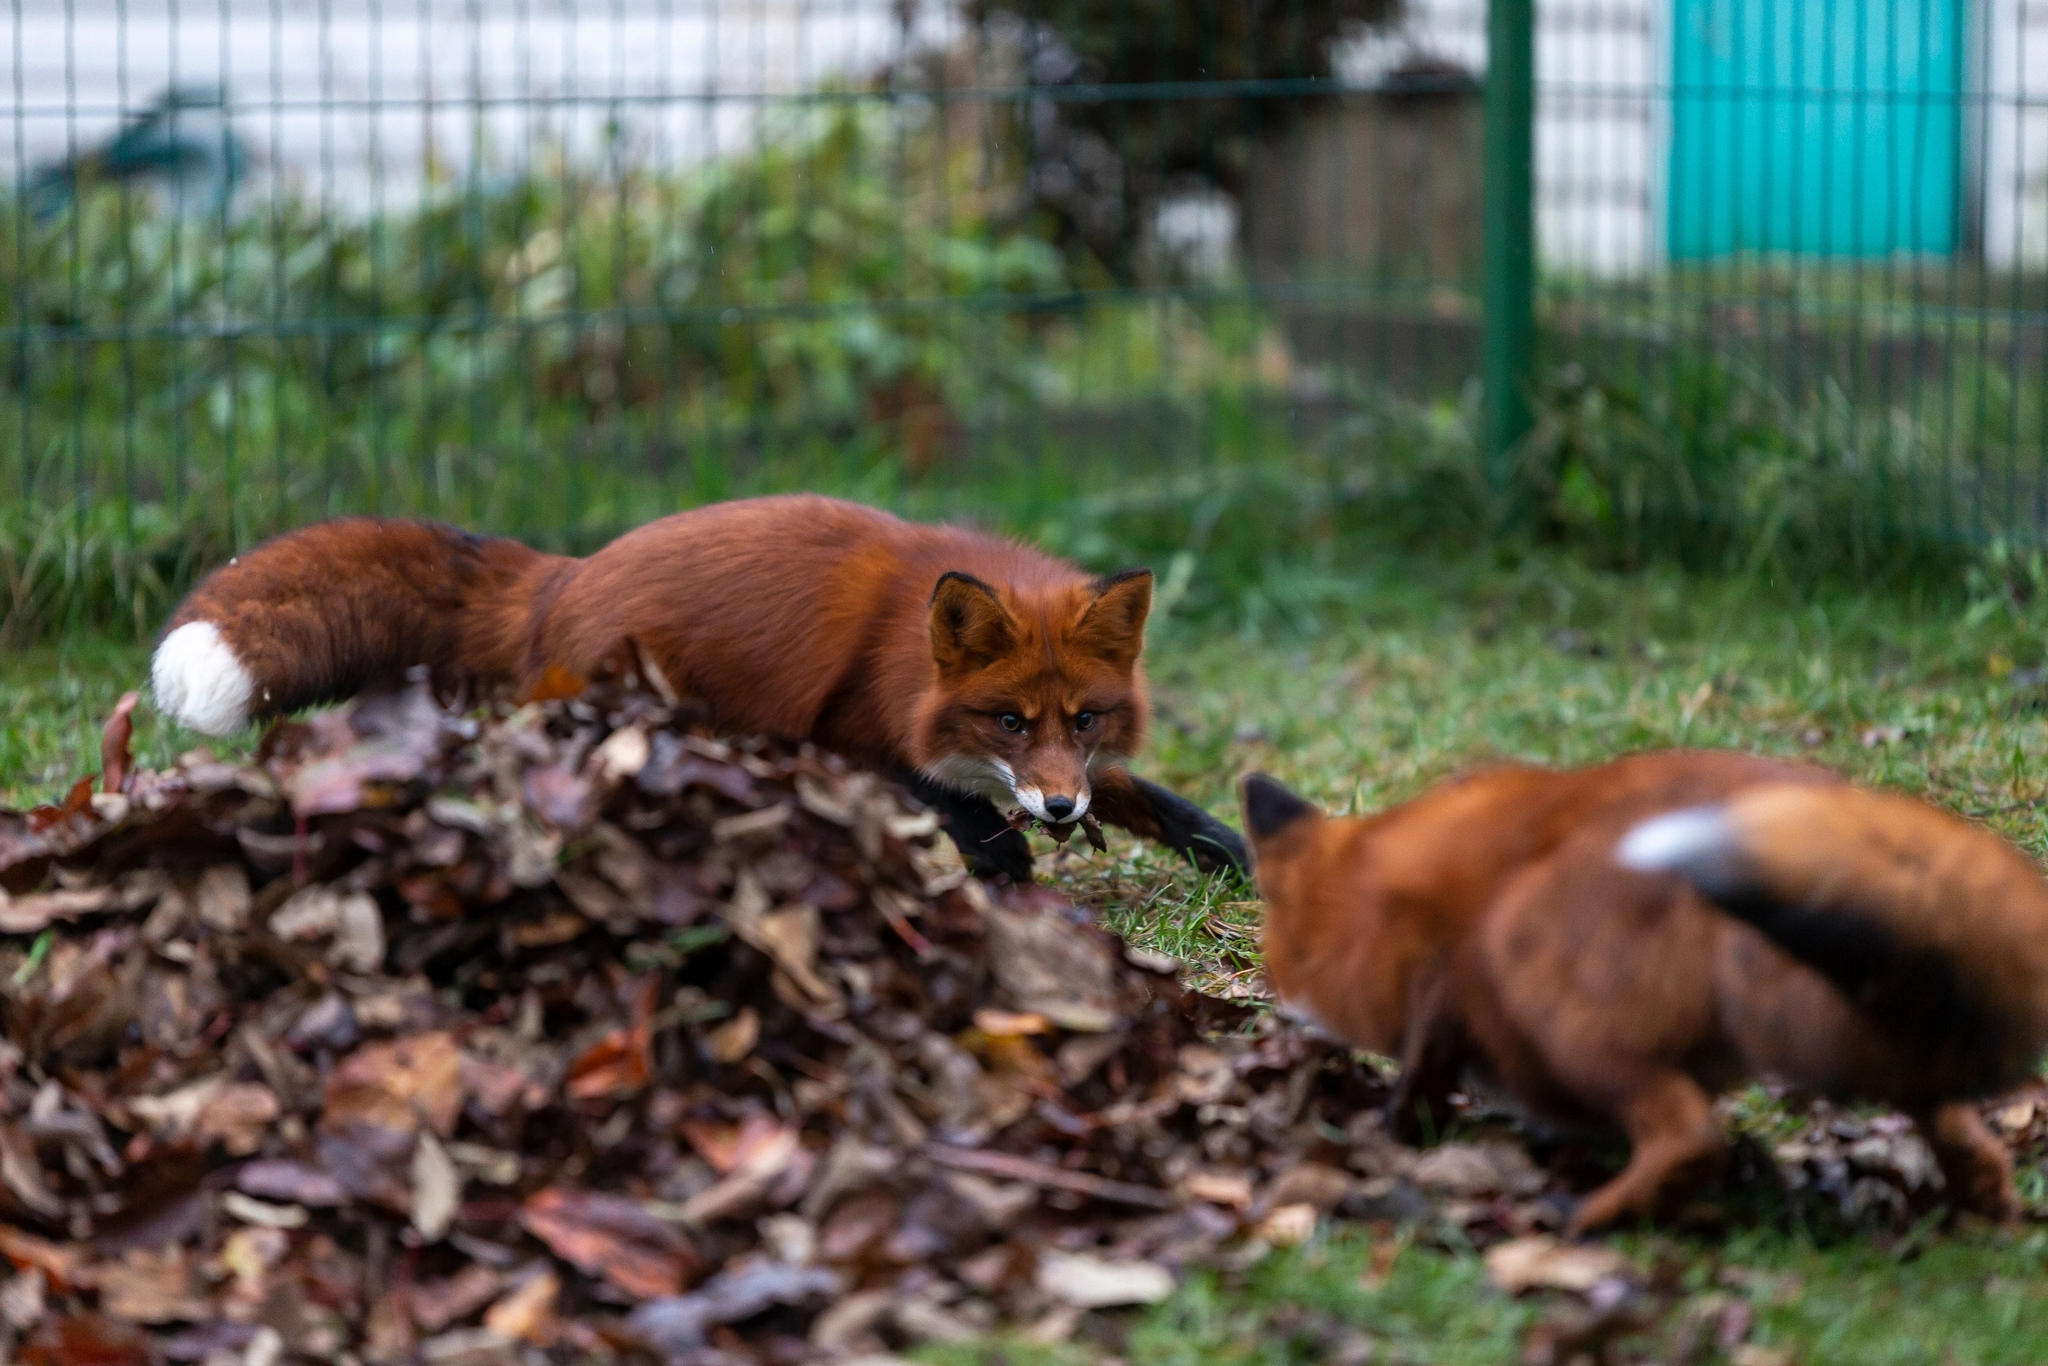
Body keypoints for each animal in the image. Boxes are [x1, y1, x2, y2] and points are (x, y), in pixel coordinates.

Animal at [148, 497, 1245, 880]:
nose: (1058, 808)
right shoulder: (838, 730)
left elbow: (1164, 804)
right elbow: (955, 806)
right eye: (1007, 719)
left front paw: (1237, 858)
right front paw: (1005, 867)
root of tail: (558, 576)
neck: (903, 649)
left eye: (1085, 718)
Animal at [1236, 753, 2048, 1236]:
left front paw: (1394, 1135)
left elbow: (1423, 1073)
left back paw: (1585, 1214)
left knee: (1690, 1136)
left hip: (1541, 980)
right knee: (1966, 1135)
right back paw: (1988, 1213)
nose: (1280, 1011)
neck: (1373, 895)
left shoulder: (1443, 987)